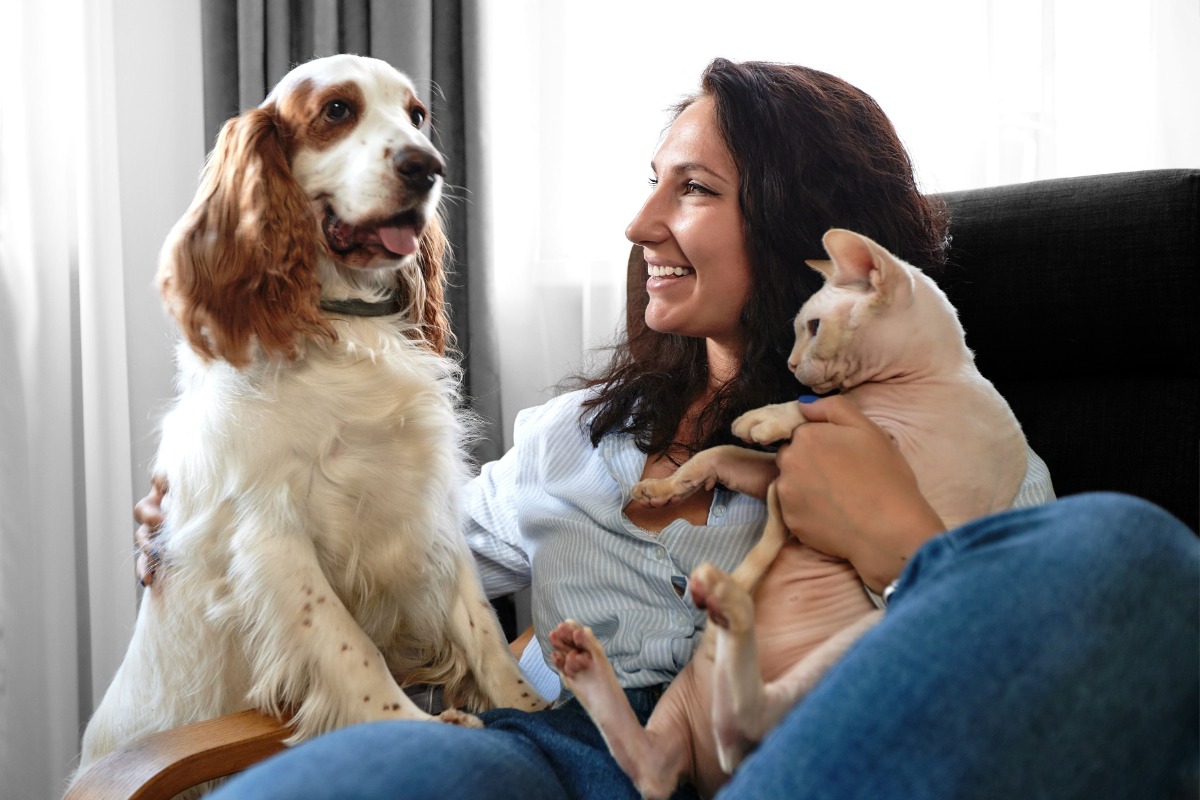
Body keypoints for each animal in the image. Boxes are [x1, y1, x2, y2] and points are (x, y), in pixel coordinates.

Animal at [72, 54, 547, 786]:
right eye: (336, 111)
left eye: (417, 115)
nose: (428, 166)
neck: (344, 330)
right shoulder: (272, 537)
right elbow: (351, 650)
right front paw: (413, 730)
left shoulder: (426, 508)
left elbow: (484, 632)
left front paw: (535, 710)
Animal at [552, 227, 1032, 796]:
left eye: (813, 328)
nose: (791, 367)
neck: (924, 378)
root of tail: (713, 776)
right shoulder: (778, 472)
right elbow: (721, 455)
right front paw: (664, 489)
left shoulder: (899, 455)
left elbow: (815, 415)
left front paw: (769, 416)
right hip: (683, 712)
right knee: (656, 764)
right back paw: (590, 661)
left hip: (850, 648)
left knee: (750, 724)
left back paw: (730, 609)